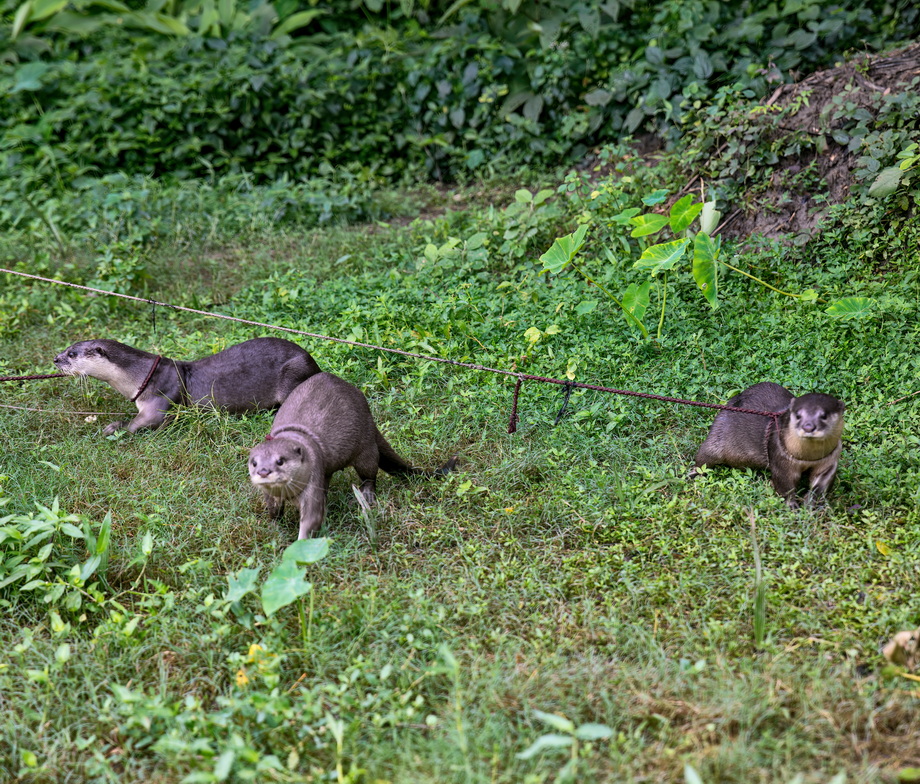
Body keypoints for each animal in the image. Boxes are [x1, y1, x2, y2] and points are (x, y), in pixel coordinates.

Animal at [54, 337, 321, 435]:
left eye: (72, 353)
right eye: (65, 348)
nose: (55, 359)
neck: (140, 377)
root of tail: (314, 363)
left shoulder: (160, 398)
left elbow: (140, 423)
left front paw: (113, 427)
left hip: (294, 372)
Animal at [249, 372, 456, 539]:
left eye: (280, 461)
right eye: (254, 463)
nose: (264, 471)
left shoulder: (313, 480)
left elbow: (311, 519)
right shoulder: (272, 496)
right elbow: (274, 511)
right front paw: (275, 528)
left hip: (366, 448)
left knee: (370, 473)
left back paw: (367, 496)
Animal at [693, 382, 844, 508]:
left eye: (824, 415)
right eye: (798, 415)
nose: (808, 426)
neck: (808, 457)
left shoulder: (830, 459)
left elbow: (822, 481)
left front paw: (811, 502)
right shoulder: (780, 456)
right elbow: (785, 484)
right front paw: (792, 506)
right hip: (717, 435)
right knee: (703, 458)